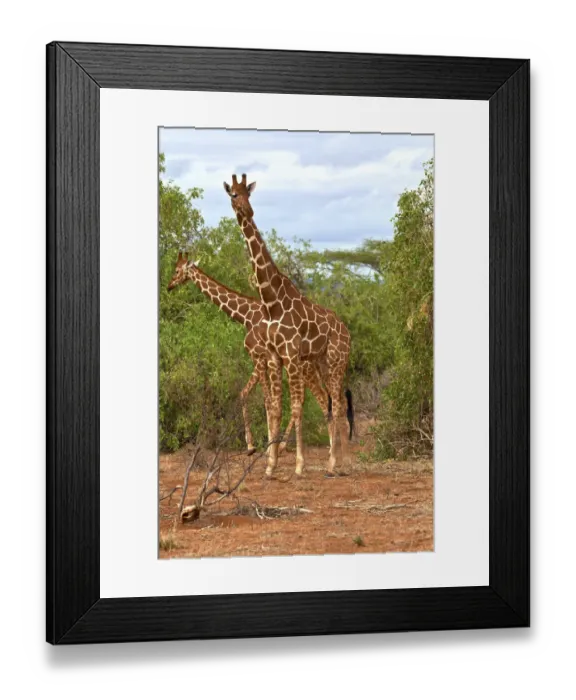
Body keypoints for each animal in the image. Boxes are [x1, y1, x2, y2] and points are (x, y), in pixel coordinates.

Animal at [167, 252, 338, 457]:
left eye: (177, 270)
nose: (169, 285)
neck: (246, 316)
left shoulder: (258, 356)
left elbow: (265, 400)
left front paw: (258, 447)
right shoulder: (261, 359)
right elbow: (249, 394)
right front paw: (258, 446)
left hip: (304, 367)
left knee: (318, 397)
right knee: (315, 397)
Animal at [223, 174, 353, 478]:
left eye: (248, 193)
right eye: (233, 194)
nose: (248, 211)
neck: (271, 301)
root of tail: (347, 331)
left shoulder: (291, 355)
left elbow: (295, 407)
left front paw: (298, 465)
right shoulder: (273, 356)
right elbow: (276, 408)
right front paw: (270, 466)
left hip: (336, 360)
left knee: (338, 403)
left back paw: (338, 463)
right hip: (322, 362)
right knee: (334, 402)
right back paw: (336, 461)